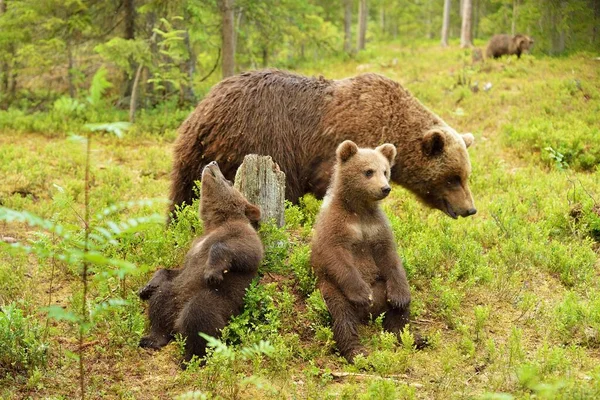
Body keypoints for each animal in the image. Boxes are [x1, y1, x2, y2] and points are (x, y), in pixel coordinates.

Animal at [142, 161, 264, 364]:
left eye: (229, 181)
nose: (213, 163)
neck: (215, 223)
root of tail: (177, 322)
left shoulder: (243, 234)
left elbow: (246, 253)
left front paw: (212, 273)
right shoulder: (193, 247)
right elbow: (174, 270)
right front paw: (146, 287)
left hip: (217, 302)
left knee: (198, 315)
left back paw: (192, 358)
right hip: (174, 293)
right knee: (161, 300)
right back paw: (152, 338)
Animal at [170, 69, 478, 222]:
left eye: (465, 175)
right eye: (452, 178)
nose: (469, 209)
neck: (391, 124)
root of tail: (203, 111)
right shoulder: (340, 143)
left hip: (194, 156)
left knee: (181, 195)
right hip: (257, 139)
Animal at [312, 141, 414, 362]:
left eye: (385, 171)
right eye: (368, 171)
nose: (385, 188)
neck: (359, 209)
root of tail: (370, 314)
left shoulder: (377, 228)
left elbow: (390, 257)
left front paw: (400, 297)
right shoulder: (336, 226)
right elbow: (337, 257)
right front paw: (362, 294)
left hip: (382, 286)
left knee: (398, 314)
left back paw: (408, 336)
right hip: (333, 290)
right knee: (343, 318)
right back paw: (357, 351)